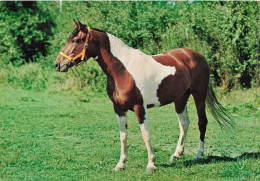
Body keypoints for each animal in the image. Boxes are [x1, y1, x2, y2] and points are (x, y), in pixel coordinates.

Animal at [55, 19, 234, 173]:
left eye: (76, 40)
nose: (58, 64)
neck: (123, 69)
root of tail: (197, 56)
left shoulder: (139, 107)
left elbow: (145, 135)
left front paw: (151, 165)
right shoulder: (118, 109)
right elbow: (123, 136)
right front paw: (120, 164)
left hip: (199, 95)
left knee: (201, 122)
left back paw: (198, 155)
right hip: (180, 98)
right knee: (184, 123)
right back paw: (176, 155)